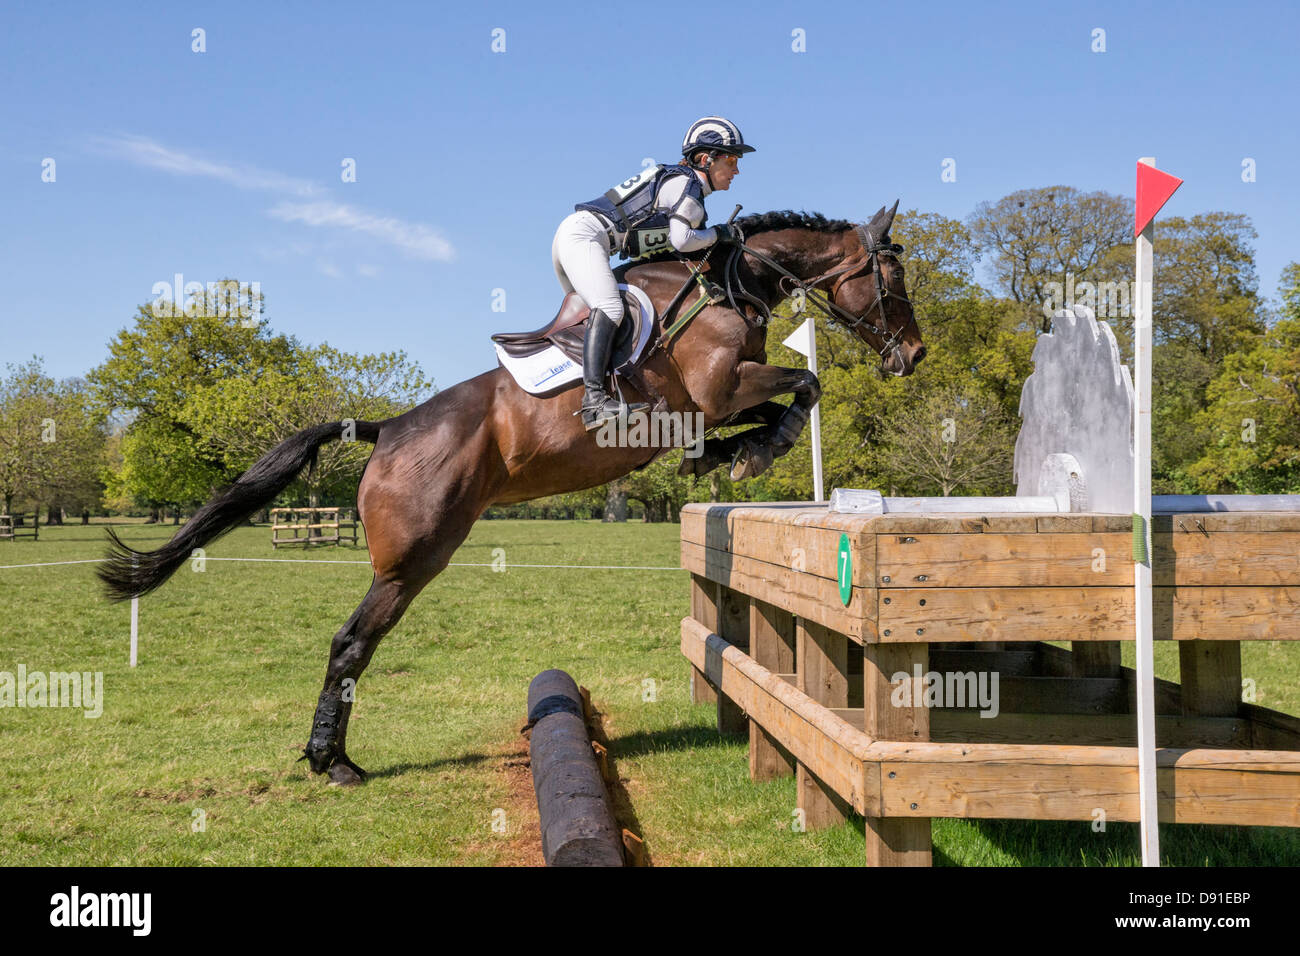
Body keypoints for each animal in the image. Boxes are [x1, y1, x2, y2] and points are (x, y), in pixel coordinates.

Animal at [97, 202, 924, 784]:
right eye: (891, 281)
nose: (913, 355)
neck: (727, 281)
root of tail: (388, 429)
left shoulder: (711, 404)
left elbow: (775, 402)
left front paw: (735, 454)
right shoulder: (718, 389)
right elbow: (804, 382)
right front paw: (766, 445)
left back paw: (330, 755)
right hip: (413, 557)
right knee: (351, 643)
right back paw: (333, 761)